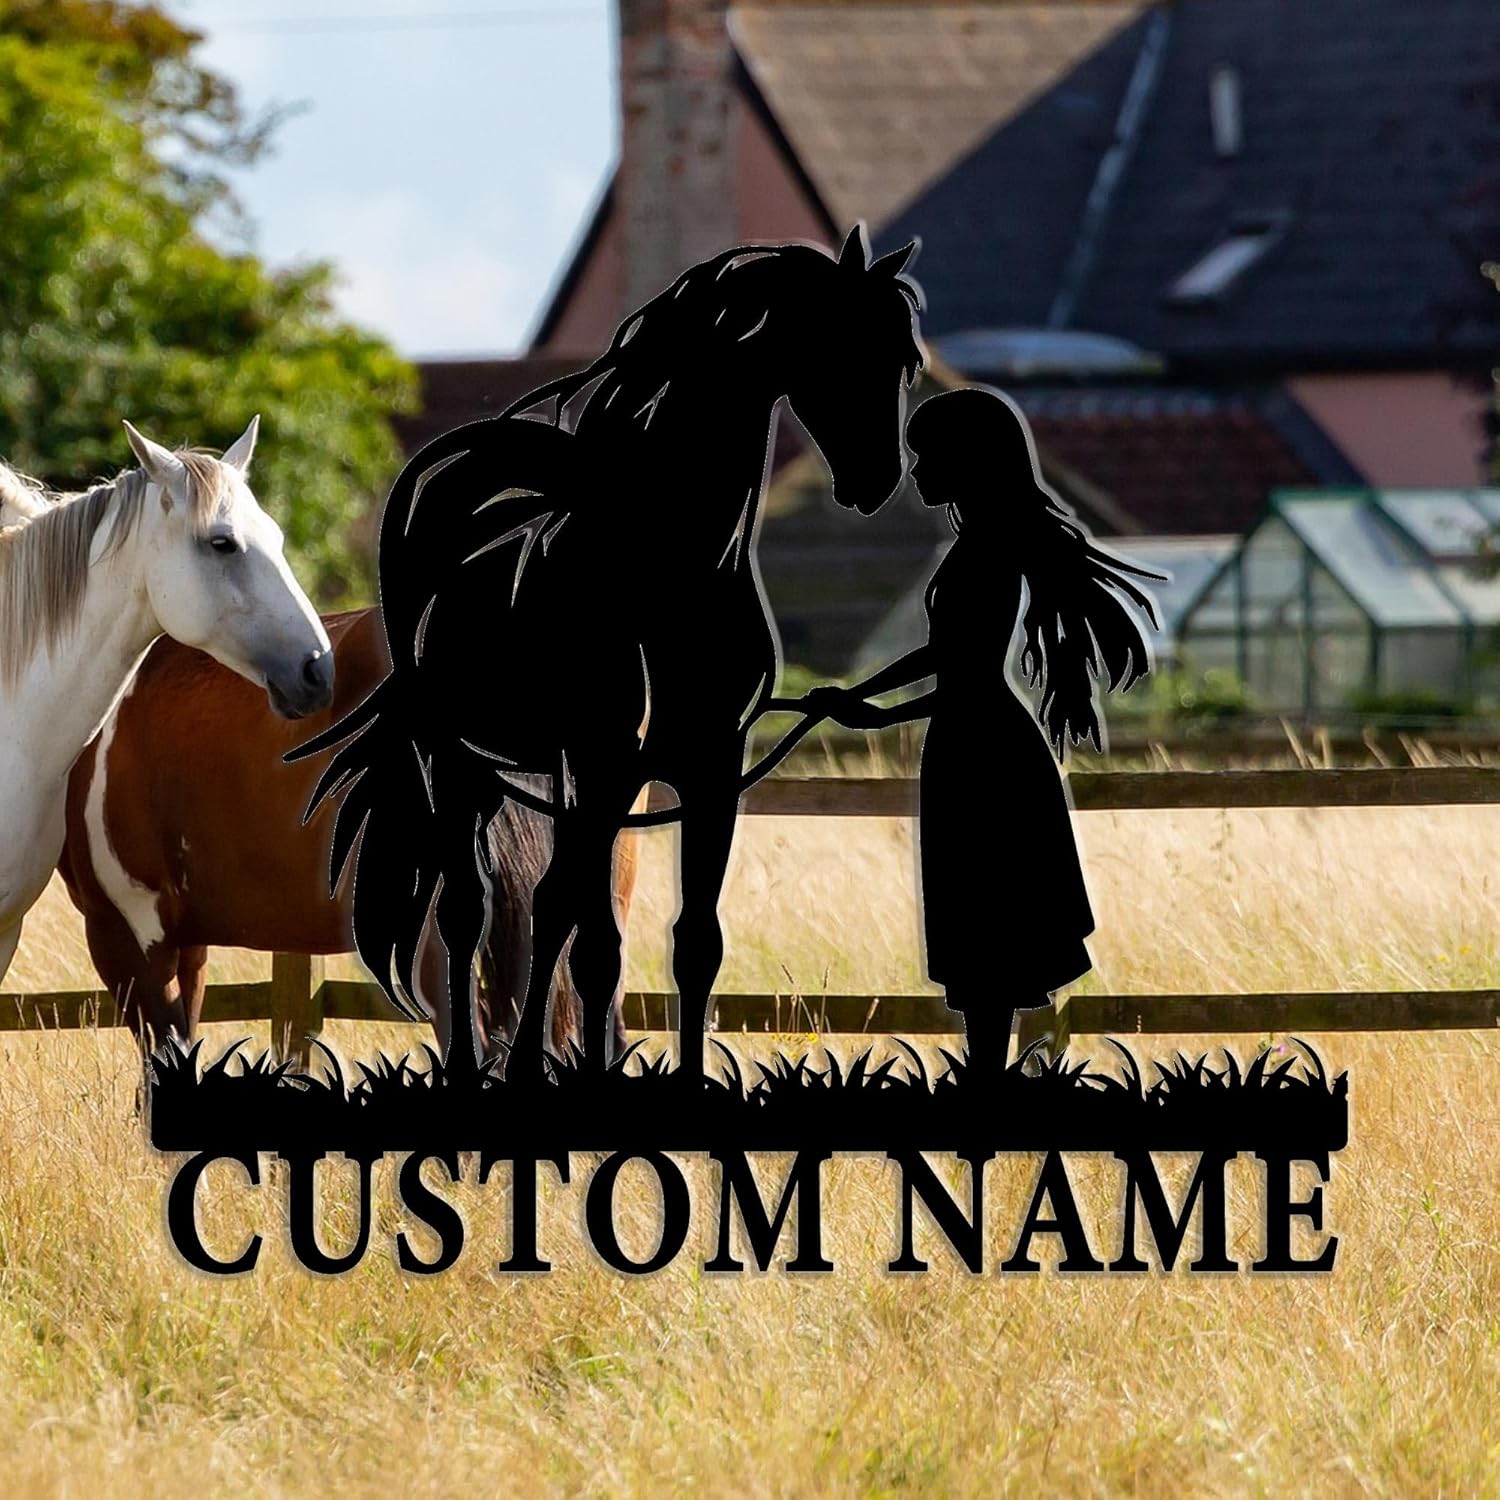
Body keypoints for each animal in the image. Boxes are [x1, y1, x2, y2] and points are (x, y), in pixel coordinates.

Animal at [292, 227, 924, 1083]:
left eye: (903, 358)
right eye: (834, 343)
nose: (876, 480)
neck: (664, 577)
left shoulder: (710, 769)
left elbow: (690, 942)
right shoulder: (602, 765)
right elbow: (589, 940)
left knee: (535, 904)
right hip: (459, 763)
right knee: (468, 910)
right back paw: (470, 1062)